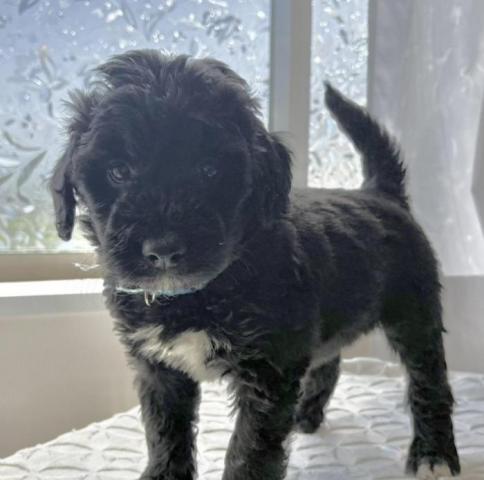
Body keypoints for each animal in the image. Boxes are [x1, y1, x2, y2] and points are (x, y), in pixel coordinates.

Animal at [50, 49, 460, 480]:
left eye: (209, 170)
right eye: (118, 171)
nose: (163, 249)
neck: (199, 292)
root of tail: (380, 193)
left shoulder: (270, 369)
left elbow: (251, 447)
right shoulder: (159, 368)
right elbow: (164, 428)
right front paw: (164, 473)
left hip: (413, 311)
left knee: (429, 378)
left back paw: (433, 454)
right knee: (328, 359)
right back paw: (306, 414)